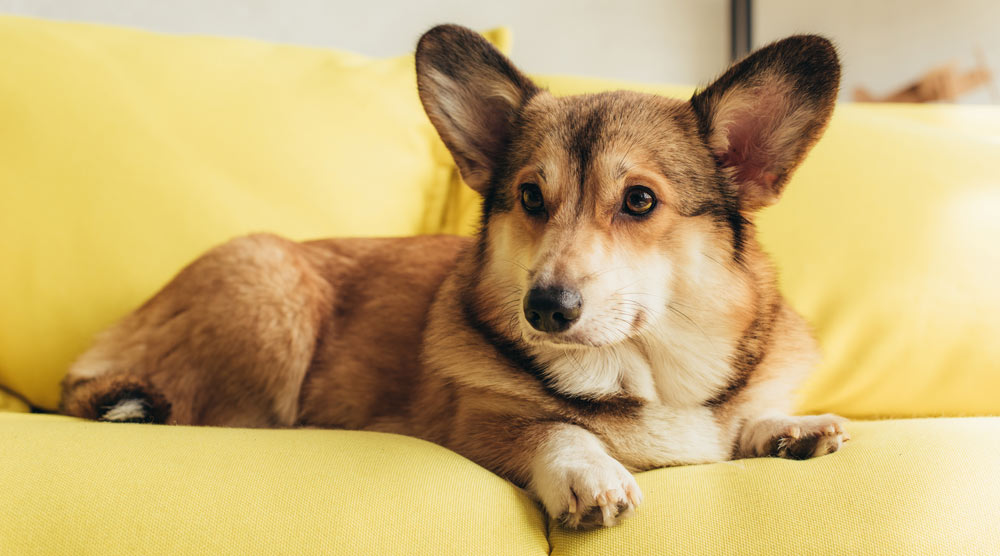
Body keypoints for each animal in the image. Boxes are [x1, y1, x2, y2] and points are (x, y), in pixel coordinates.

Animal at [60, 26, 844, 528]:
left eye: (641, 201)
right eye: (530, 196)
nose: (545, 309)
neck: (643, 372)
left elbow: (747, 418)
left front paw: (789, 429)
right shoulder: (478, 424)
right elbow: (554, 428)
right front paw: (590, 473)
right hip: (269, 295)